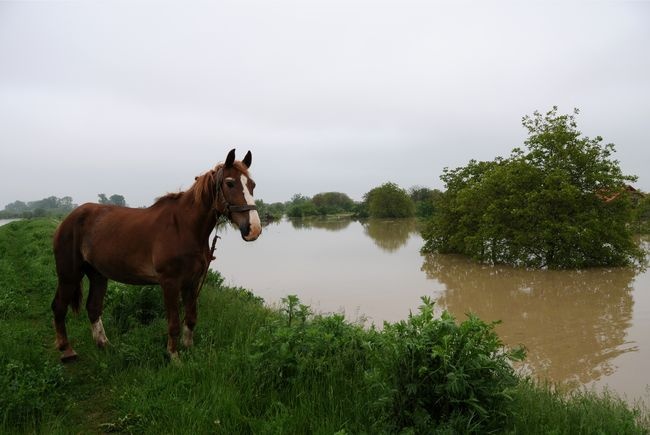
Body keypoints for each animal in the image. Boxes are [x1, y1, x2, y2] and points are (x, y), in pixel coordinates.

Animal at [52, 148, 260, 362]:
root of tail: (67, 220)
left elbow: (191, 318)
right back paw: (67, 349)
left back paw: (104, 345)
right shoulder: (169, 282)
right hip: (69, 274)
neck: (183, 227)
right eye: (230, 183)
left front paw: (189, 349)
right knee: (59, 306)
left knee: (93, 307)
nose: (253, 228)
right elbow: (174, 323)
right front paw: (174, 357)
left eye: (252, 185)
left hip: (97, 274)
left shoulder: (192, 281)